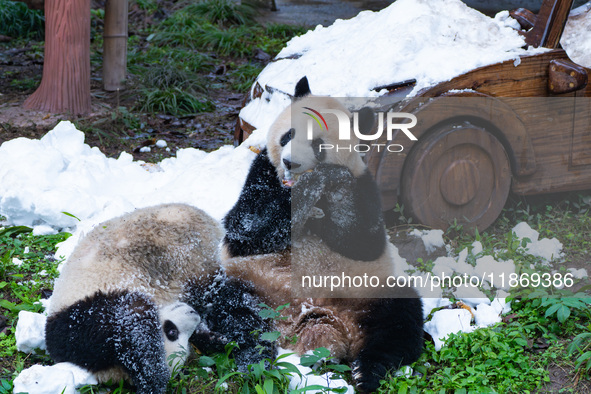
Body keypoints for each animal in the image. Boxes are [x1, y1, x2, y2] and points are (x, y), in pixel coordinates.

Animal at [223, 76, 426, 390]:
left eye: (318, 145)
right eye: (288, 135)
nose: (290, 163)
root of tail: (319, 321)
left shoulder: (363, 183)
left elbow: (364, 240)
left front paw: (327, 186)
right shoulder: (262, 174)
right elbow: (245, 228)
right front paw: (304, 196)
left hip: (368, 292)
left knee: (400, 320)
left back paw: (366, 371)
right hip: (255, 283)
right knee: (232, 311)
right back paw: (254, 360)